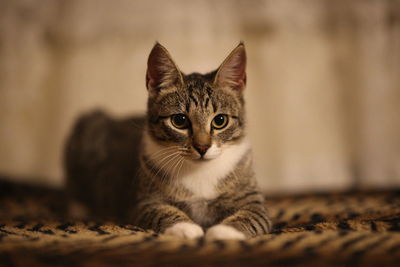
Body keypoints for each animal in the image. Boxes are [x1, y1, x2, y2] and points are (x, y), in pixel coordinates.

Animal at [65, 42, 272, 241]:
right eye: (179, 120)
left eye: (220, 120)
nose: (202, 147)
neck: (198, 171)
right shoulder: (144, 202)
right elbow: (161, 211)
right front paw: (185, 227)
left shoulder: (254, 202)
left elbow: (252, 216)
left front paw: (224, 231)